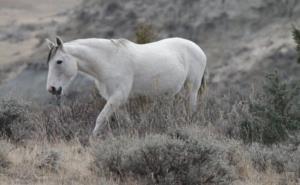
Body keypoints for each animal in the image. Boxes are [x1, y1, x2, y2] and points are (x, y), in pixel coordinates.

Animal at [45, 36, 207, 136]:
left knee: (191, 106)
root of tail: (198, 48)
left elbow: (101, 119)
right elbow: (126, 121)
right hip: (168, 95)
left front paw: (92, 141)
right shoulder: (116, 100)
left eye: (59, 61)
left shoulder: (117, 97)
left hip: (192, 87)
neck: (109, 61)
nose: (51, 89)